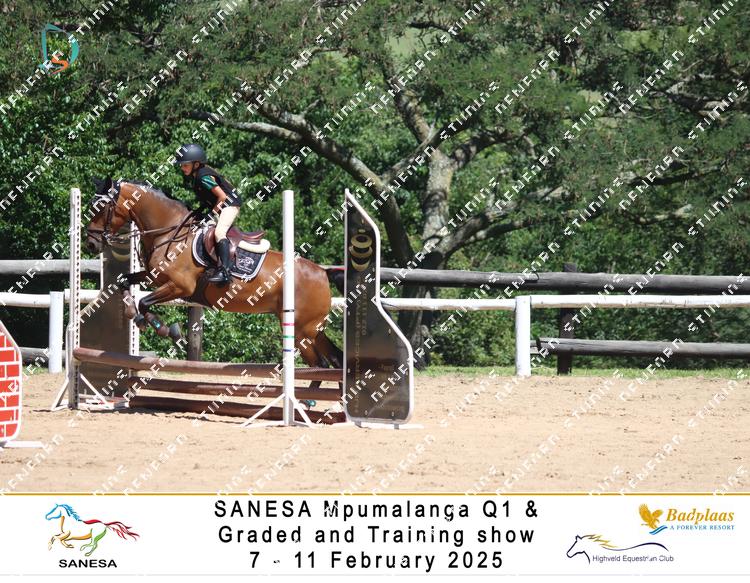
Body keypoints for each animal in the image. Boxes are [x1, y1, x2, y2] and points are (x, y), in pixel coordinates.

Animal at [84, 177, 343, 369]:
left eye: (101, 208)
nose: (91, 244)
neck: (169, 233)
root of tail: (322, 272)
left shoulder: (180, 286)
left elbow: (145, 301)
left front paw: (166, 329)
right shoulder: (154, 277)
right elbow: (124, 282)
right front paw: (133, 314)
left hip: (301, 329)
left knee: (320, 364)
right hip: (313, 328)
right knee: (334, 359)